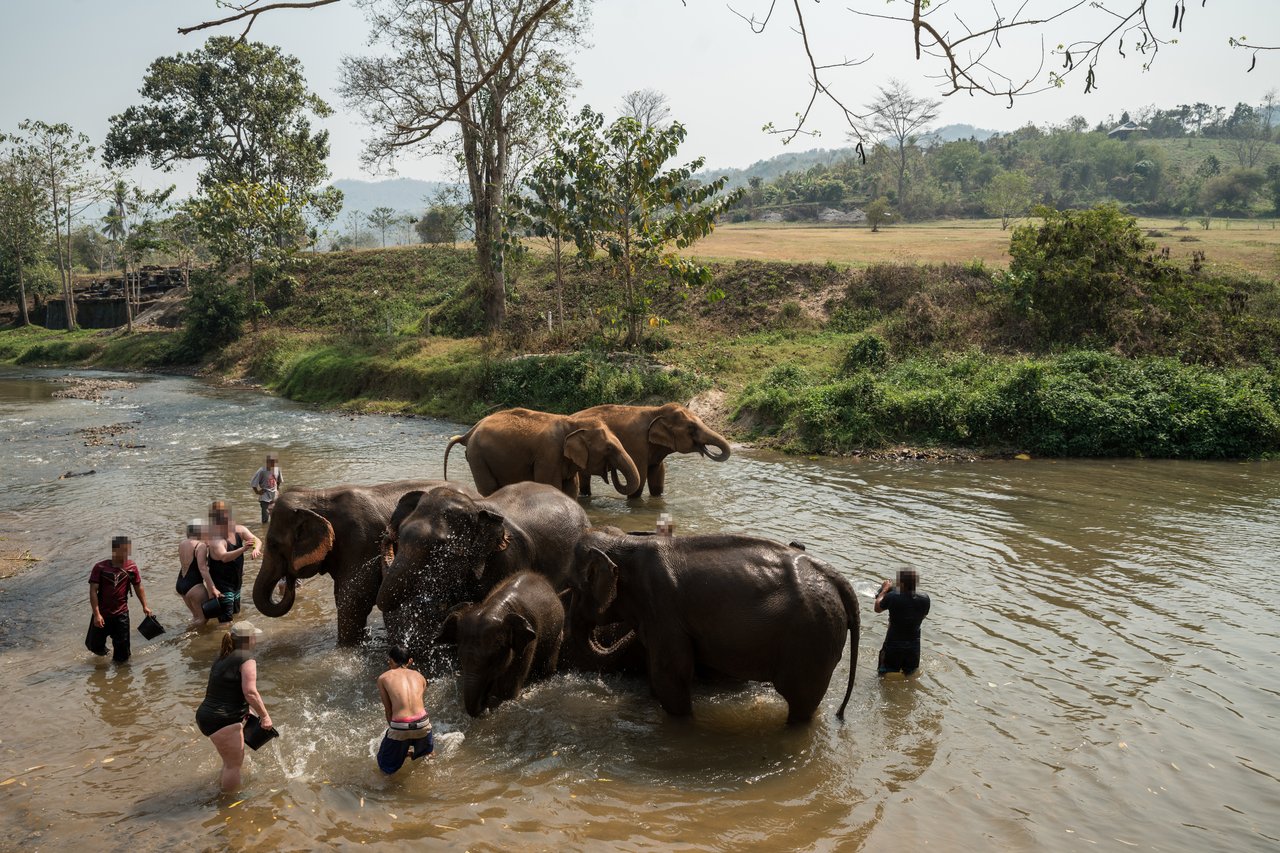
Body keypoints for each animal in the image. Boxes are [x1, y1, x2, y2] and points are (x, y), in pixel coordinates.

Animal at [252, 479, 476, 646]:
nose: (289, 579)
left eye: (273, 544)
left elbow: (353, 599)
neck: (317, 496)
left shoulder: (361, 541)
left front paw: (346, 649)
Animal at [437, 572, 565, 716]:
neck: (496, 606)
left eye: (493, 659)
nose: (484, 704)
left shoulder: (528, 641)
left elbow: (507, 688)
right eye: (460, 658)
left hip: (557, 634)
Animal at [443, 408, 641, 498]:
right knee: (489, 487)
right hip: (478, 456)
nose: (611, 470)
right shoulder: (549, 454)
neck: (573, 423)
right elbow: (551, 485)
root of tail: (469, 432)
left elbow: (571, 489)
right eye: (609, 448)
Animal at [571, 529, 860, 724]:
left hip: (811, 637)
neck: (628, 543)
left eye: (574, 587)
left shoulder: (663, 612)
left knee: (800, 701)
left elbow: (670, 676)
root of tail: (836, 578)